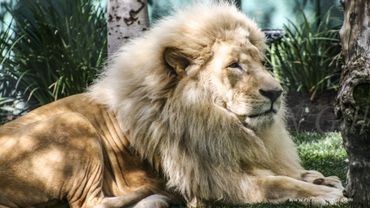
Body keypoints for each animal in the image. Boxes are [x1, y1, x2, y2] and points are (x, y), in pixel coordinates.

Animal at [0, 1, 346, 208]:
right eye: (234, 65)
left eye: (262, 62)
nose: (276, 92)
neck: (221, 120)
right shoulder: (218, 182)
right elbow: (277, 183)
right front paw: (327, 192)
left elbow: (289, 173)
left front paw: (320, 178)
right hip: (73, 124)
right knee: (91, 204)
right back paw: (156, 198)